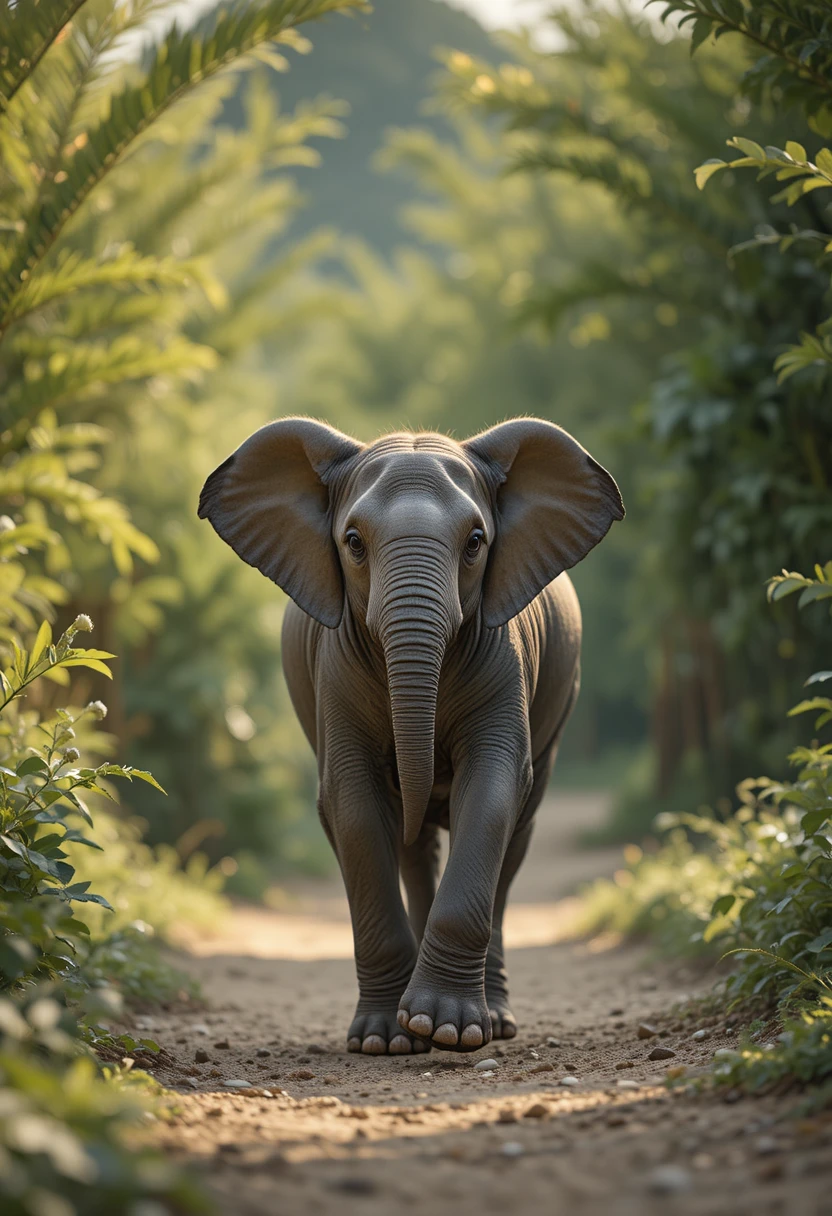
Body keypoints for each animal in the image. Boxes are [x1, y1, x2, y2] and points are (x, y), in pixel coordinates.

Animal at [198, 416, 624, 1055]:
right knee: (412, 848)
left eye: (475, 543)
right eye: (353, 543)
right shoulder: (335, 671)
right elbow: (351, 803)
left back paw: (492, 1022)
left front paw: (448, 1029)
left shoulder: (506, 656)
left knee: (516, 835)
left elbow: (494, 787)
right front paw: (386, 1040)